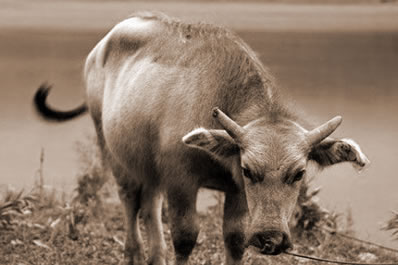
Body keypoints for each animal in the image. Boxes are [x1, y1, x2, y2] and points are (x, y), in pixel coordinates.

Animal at [34, 11, 370, 264]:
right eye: (249, 170)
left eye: (299, 173)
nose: (270, 238)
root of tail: (101, 46)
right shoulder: (180, 180)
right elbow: (185, 237)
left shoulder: (234, 192)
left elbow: (234, 239)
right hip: (110, 147)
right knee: (130, 199)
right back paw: (134, 253)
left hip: (150, 165)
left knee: (150, 204)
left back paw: (155, 257)